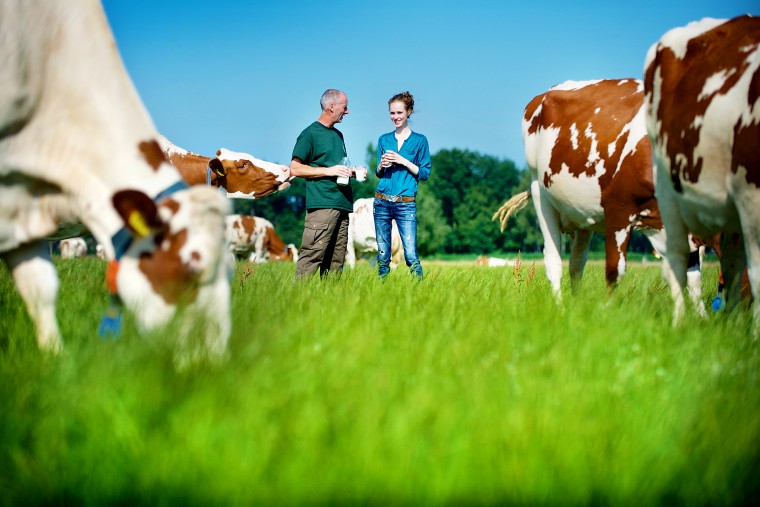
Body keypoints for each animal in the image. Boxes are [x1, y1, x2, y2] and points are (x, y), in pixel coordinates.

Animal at [496, 79, 704, 306]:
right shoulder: (618, 210)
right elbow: (615, 270)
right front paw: (607, 310)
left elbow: (692, 276)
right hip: (540, 194)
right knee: (554, 261)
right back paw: (559, 306)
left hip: (581, 213)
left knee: (576, 264)